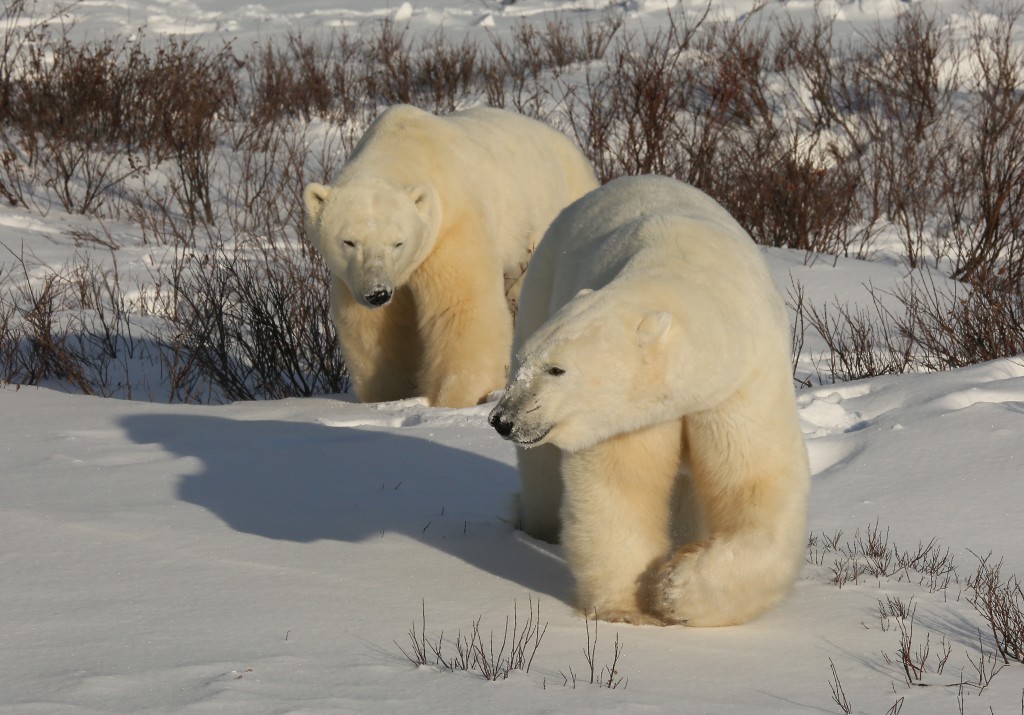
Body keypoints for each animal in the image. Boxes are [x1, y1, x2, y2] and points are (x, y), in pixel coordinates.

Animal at [303, 104, 599, 408]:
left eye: (398, 243)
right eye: (349, 242)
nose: (378, 293)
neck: (403, 146)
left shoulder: (451, 226)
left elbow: (461, 306)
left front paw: (456, 399)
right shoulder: (353, 278)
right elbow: (371, 325)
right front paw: (388, 397)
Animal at [488, 175, 810, 627]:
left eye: (556, 369)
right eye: (524, 363)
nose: (503, 419)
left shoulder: (738, 384)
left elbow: (755, 482)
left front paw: (677, 588)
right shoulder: (628, 417)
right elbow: (622, 486)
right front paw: (631, 610)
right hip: (542, 284)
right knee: (543, 478)